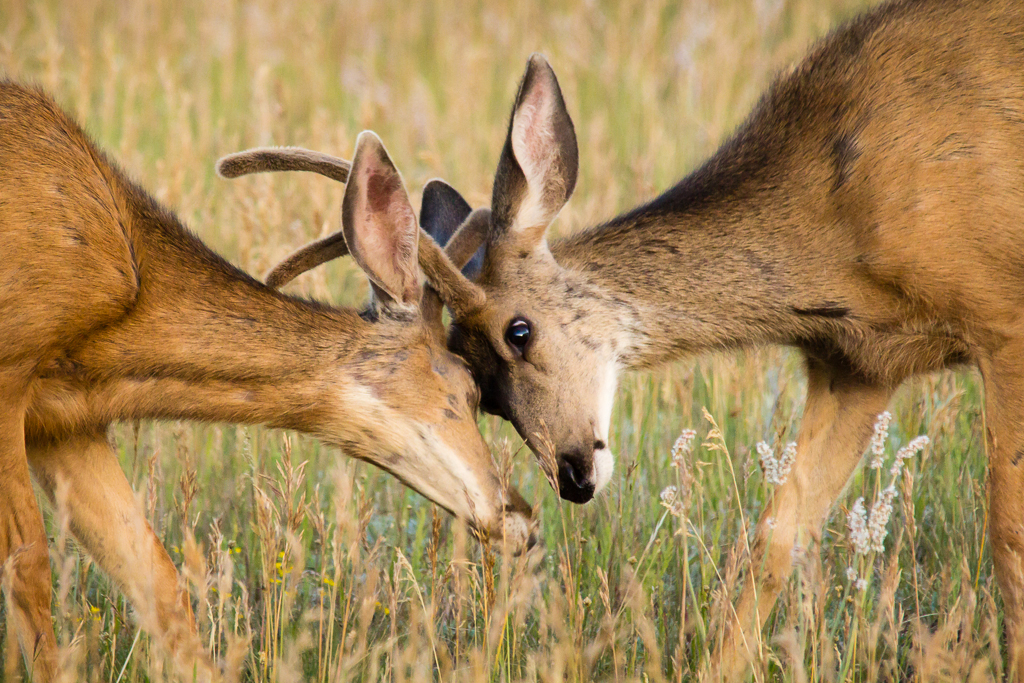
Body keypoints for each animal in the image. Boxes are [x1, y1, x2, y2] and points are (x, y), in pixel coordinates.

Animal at [0, 81, 532, 683]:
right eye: (469, 388)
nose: (522, 518)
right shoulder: (11, 371)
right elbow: (29, 568)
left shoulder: (64, 421)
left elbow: (157, 578)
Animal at [234, 0, 1024, 679]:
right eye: (480, 392)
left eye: (518, 330)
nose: (574, 476)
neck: (837, 221)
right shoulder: (855, 365)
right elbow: (771, 542)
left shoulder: (1002, 318)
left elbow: (1009, 538)